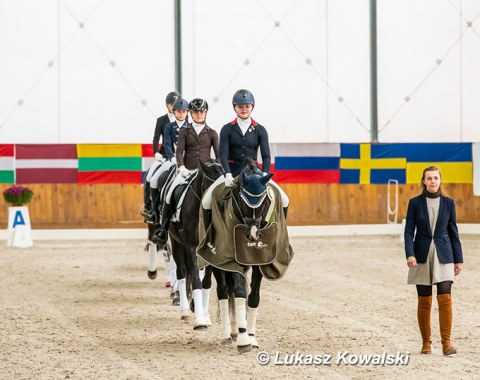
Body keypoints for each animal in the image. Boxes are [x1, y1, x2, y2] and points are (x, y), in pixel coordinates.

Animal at [197, 158, 294, 354]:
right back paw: (227, 334)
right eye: (242, 202)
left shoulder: (261, 262)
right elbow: (240, 292)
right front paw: (243, 340)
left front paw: (251, 337)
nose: (253, 235)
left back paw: (234, 331)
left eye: (264, 202)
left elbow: (254, 296)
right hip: (216, 261)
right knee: (223, 292)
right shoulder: (231, 260)